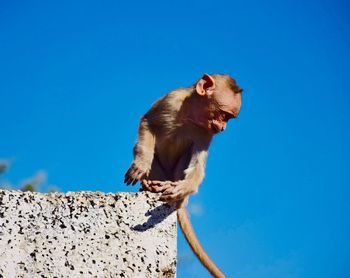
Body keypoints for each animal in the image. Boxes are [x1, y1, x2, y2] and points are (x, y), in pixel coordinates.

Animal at [124, 73, 242, 276]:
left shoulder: (206, 133)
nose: (223, 128)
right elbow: (147, 122)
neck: (190, 117)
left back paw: (175, 193)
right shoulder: (171, 100)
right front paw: (141, 163)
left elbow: (197, 165)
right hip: (160, 172)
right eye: (225, 115)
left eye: (229, 118)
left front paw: (184, 187)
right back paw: (150, 184)